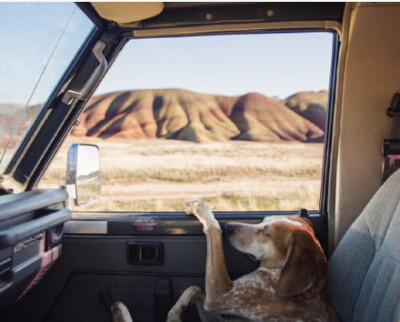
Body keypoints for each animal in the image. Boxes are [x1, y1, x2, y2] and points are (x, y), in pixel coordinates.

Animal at [166, 200, 338, 320]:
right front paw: (180, 306)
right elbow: (195, 289)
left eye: (266, 233)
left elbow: (213, 229)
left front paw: (200, 208)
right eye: (263, 220)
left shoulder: (220, 296)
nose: (228, 226)